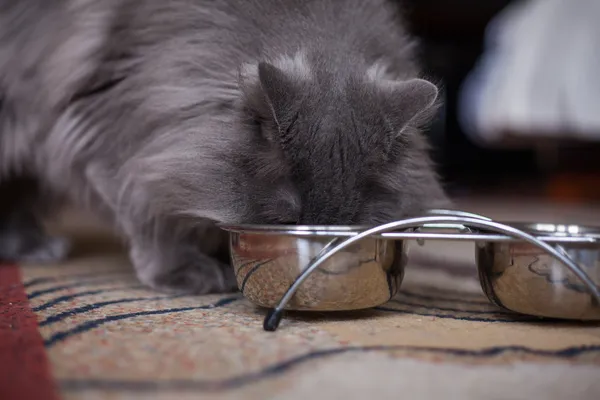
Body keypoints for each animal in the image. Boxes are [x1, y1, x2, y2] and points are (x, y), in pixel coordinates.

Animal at [0, 0, 448, 294]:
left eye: (351, 225)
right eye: (286, 220)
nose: (317, 260)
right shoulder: (108, 138)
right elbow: (153, 220)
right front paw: (186, 271)